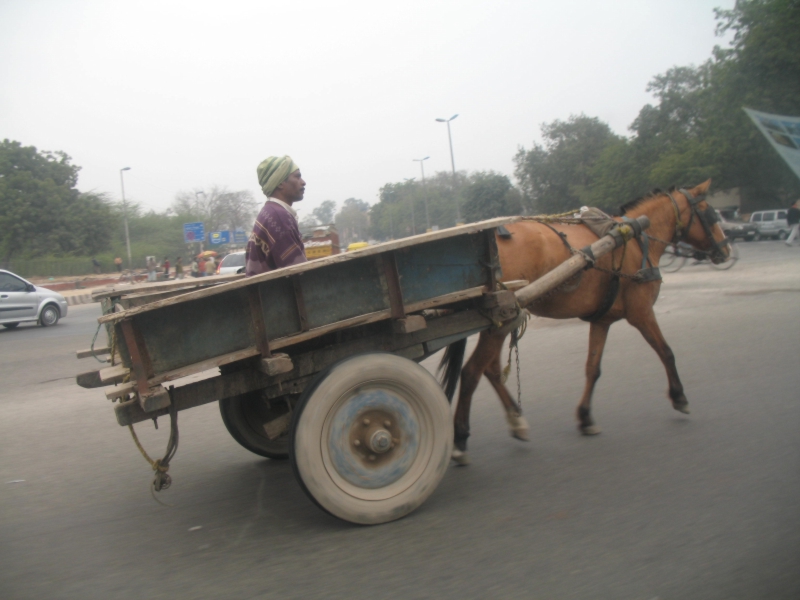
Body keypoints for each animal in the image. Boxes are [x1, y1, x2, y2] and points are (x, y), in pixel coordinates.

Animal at [444, 179, 732, 464]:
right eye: (710, 213)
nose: (726, 249)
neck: (634, 239)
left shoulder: (603, 320)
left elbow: (593, 368)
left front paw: (585, 417)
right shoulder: (641, 313)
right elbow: (666, 352)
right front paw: (679, 397)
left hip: (502, 322)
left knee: (490, 370)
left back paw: (516, 421)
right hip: (501, 319)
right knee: (471, 372)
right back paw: (460, 438)